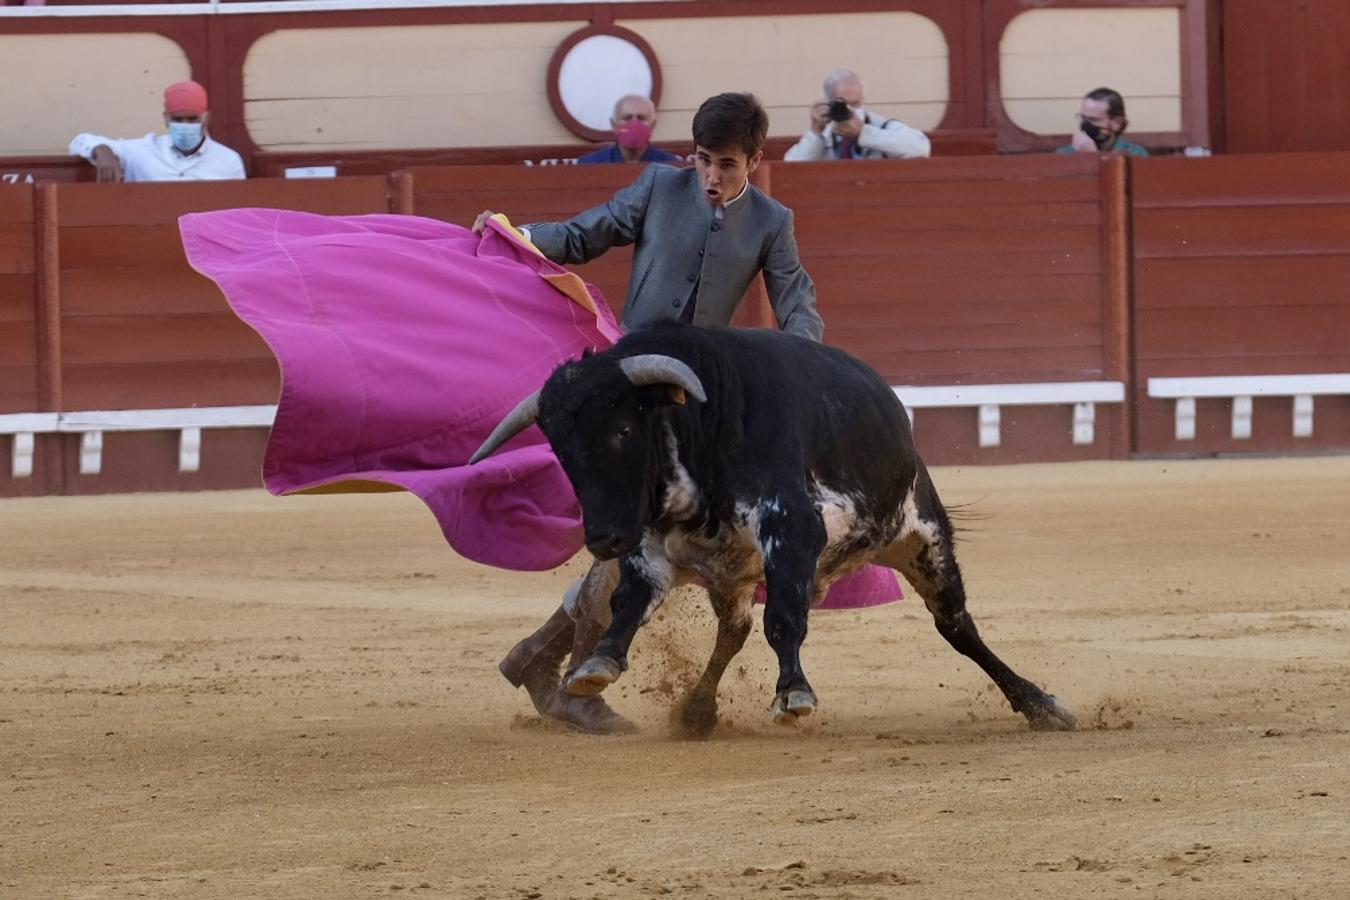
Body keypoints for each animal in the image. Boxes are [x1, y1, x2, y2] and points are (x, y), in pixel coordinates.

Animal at [475, 327, 1074, 734]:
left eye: (623, 429)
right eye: (560, 449)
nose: (601, 539)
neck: (702, 427)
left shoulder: (791, 530)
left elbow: (784, 621)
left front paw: (794, 695)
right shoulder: (649, 542)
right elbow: (628, 604)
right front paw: (597, 665)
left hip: (921, 537)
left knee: (956, 626)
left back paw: (1040, 704)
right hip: (732, 574)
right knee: (732, 633)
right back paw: (697, 710)